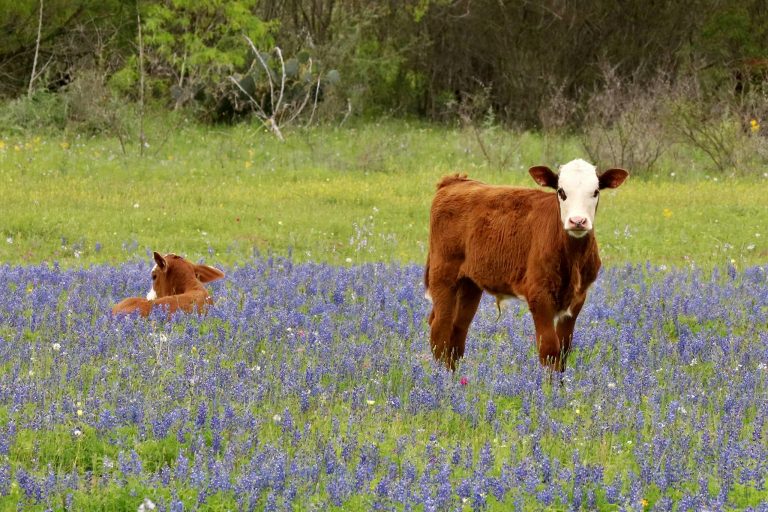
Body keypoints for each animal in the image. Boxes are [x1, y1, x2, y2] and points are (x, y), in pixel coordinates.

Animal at [424, 159, 628, 372]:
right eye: (561, 191)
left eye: (595, 191)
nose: (578, 221)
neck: (572, 258)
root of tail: (455, 181)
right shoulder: (539, 294)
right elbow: (549, 349)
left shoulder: (578, 297)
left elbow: (564, 349)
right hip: (443, 275)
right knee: (440, 329)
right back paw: (440, 375)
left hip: (469, 284)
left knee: (457, 332)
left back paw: (453, 377)